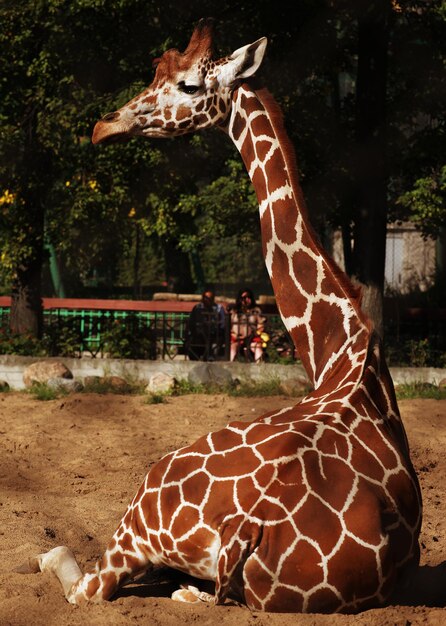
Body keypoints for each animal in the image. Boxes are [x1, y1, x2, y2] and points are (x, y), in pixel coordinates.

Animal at [24, 18, 422, 608]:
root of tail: (246, 531)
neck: (344, 349)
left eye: (188, 84)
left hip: (143, 503)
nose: (102, 127)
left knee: (85, 584)